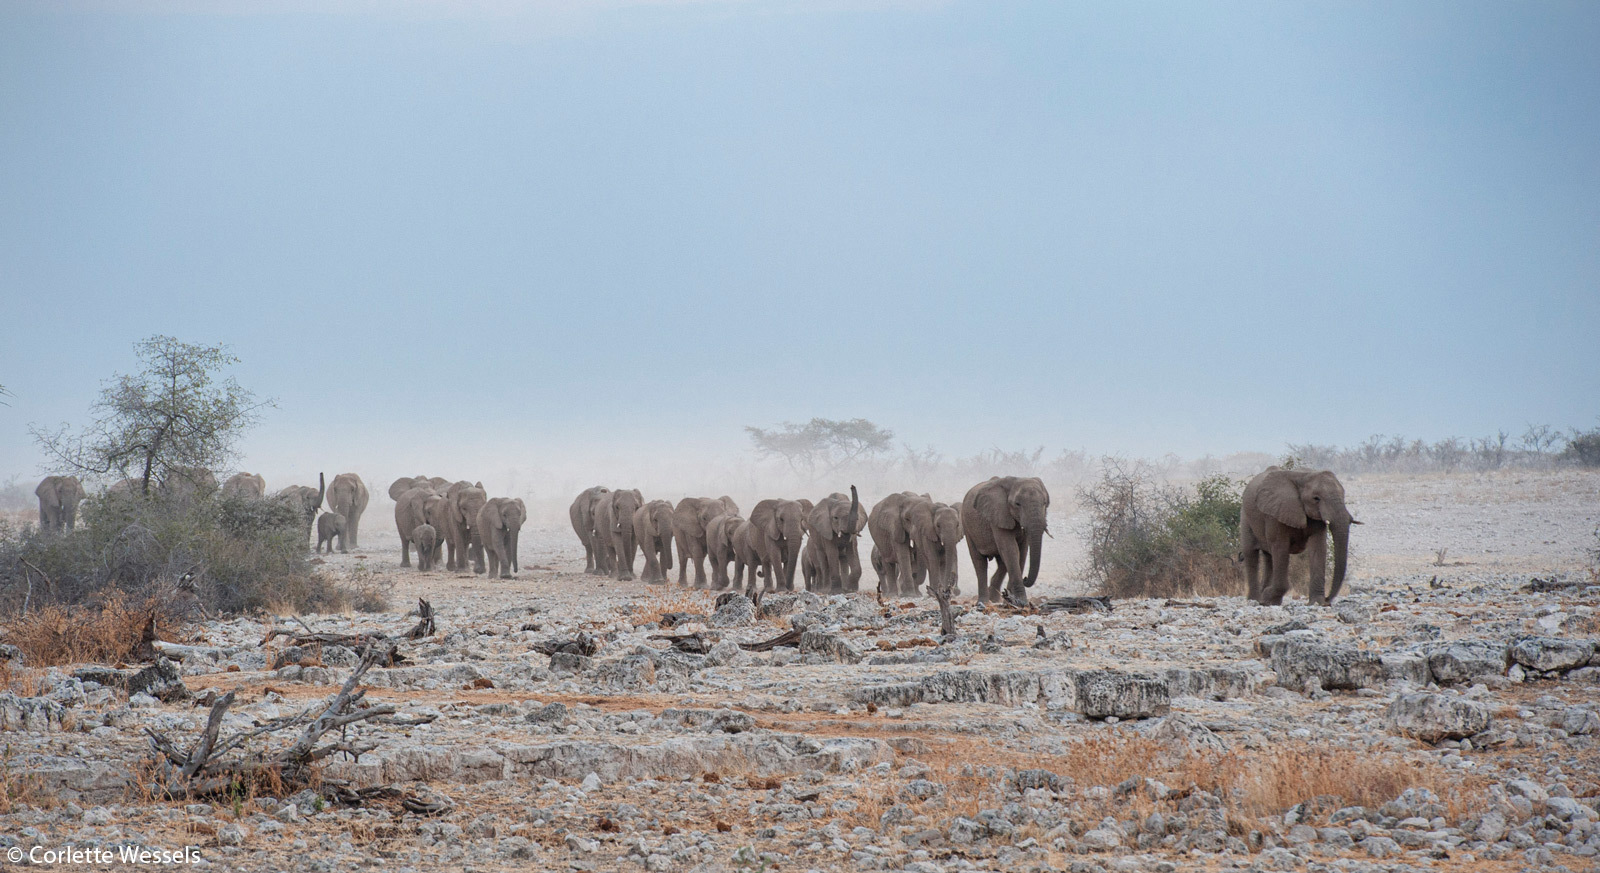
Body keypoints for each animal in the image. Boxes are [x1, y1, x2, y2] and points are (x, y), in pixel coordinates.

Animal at [960, 476, 1049, 604]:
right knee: (979, 562)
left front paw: (1013, 600)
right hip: (967, 526)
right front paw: (1021, 601)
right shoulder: (998, 515)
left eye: (1045, 503)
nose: (1025, 578)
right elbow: (1011, 549)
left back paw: (994, 599)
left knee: (1002, 561)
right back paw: (984, 602)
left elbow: (1022, 552)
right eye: (1017, 504)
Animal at [1241, 466, 1356, 601]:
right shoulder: (1275, 513)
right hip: (1246, 516)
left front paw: (1317, 602)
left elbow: (1318, 547)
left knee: (1268, 557)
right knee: (1251, 553)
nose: (1327, 599)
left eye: (1343, 495)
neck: (1303, 476)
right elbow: (1280, 547)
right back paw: (1255, 599)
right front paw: (1267, 597)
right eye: (1316, 498)